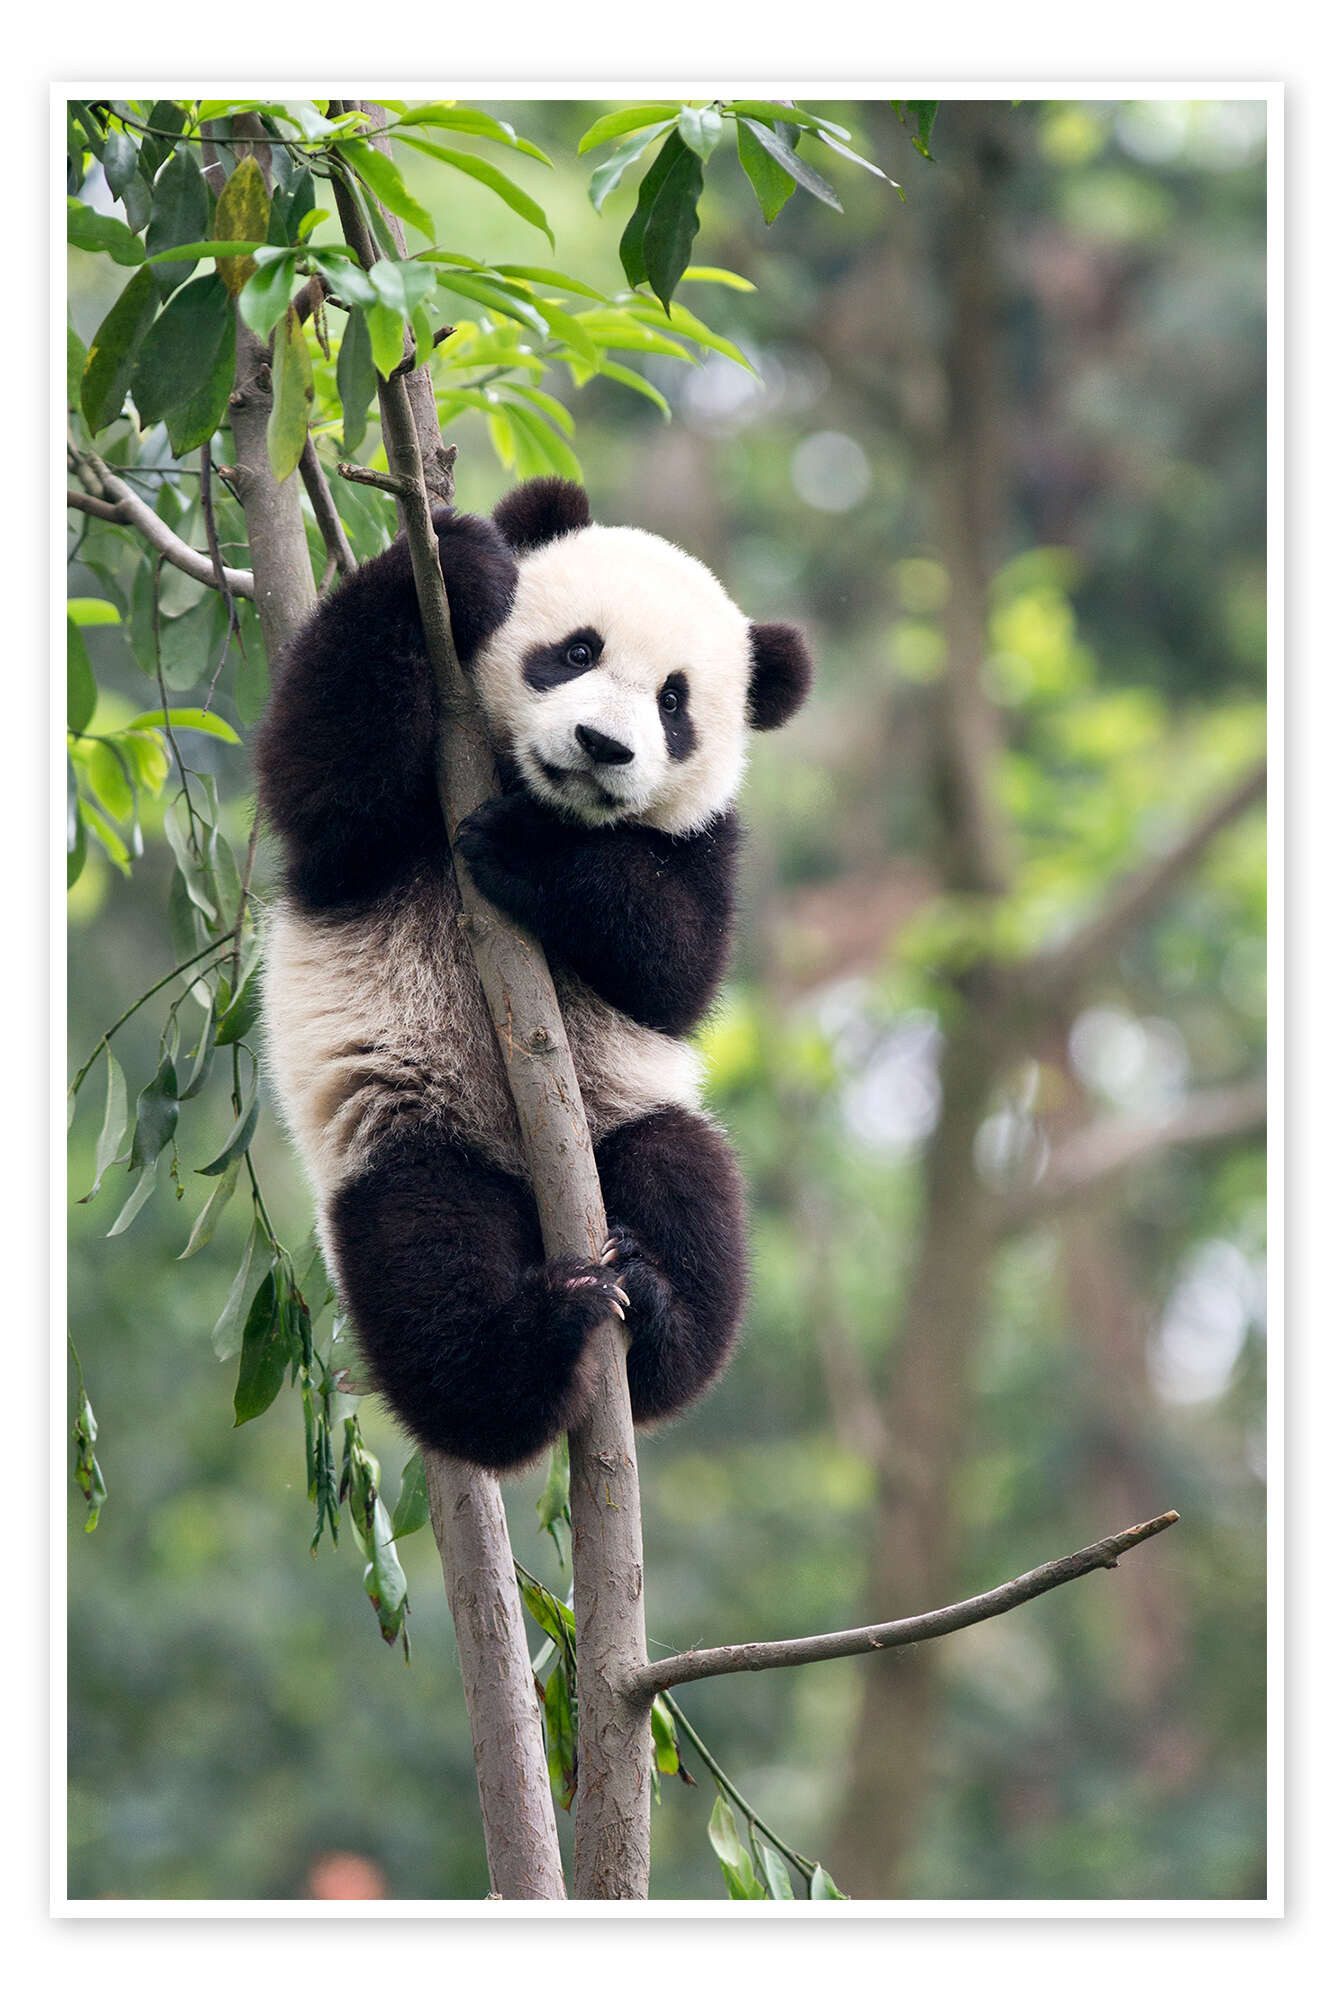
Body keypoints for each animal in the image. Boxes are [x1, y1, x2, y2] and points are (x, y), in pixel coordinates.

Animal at [256, 476, 813, 1473]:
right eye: (578, 650)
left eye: (673, 704)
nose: (601, 745)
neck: (523, 782)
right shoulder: (373, 820)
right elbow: (320, 782)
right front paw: (457, 559)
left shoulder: (707, 843)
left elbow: (677, 967)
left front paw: (529, 850)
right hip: (411, 1135)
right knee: (425, 1264)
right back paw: (535, 1342)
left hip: (623, 1115)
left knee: (688, 1184)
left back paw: (650, 1310)